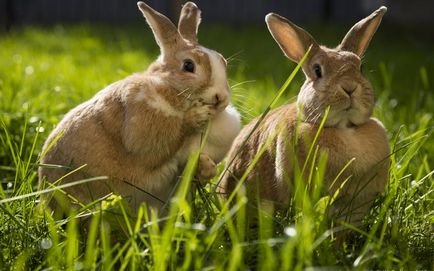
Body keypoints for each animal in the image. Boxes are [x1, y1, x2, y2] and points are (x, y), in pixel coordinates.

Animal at [37, 0, 241, 217]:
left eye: (223, 61)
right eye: (188, 66)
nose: (220, 98)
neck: (170, 89)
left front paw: (207, 167)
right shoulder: (142, 122)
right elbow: (164, 139)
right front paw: (197, 116)